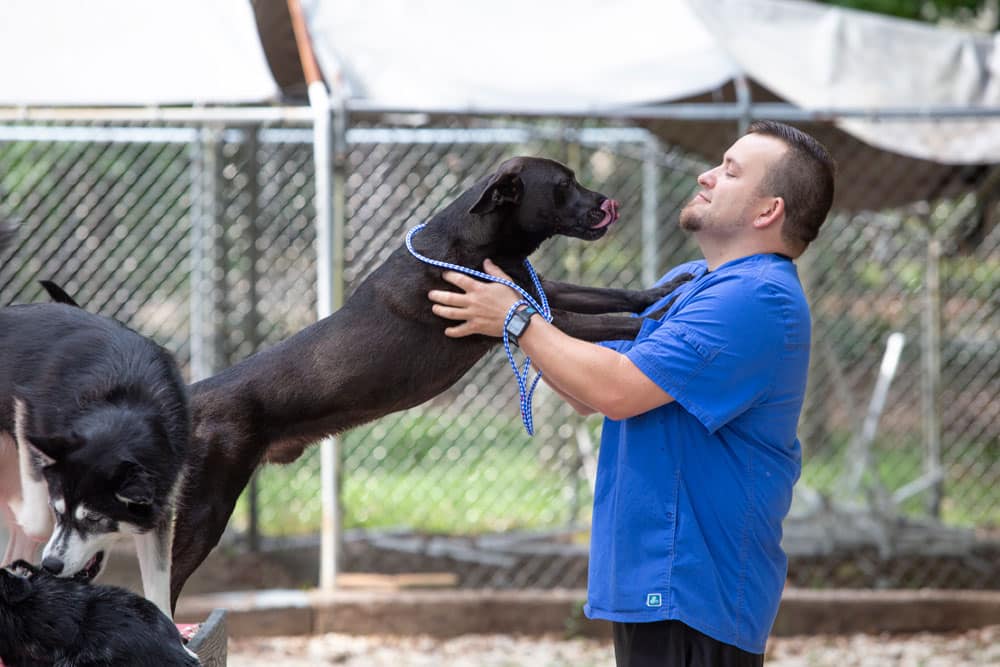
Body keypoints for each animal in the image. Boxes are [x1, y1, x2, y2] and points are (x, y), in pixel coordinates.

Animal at [0, 227, 189, 620]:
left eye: (94, 520)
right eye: (61, 513)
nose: (52, 565)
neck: (122, 402)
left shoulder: (160, 508)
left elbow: (159, 588)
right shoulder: (30, 418)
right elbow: (36, 519)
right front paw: (22, 511)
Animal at [152, 155, 692, 604]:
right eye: (563, 186)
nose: (609, 203)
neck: (476, 240)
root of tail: (194, 394)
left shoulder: (540, 292)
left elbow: (607, 293)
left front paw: (669, 288)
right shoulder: (531, 316)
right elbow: (613, 320)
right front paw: (661, 317)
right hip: (208, 505)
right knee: (167, 580)